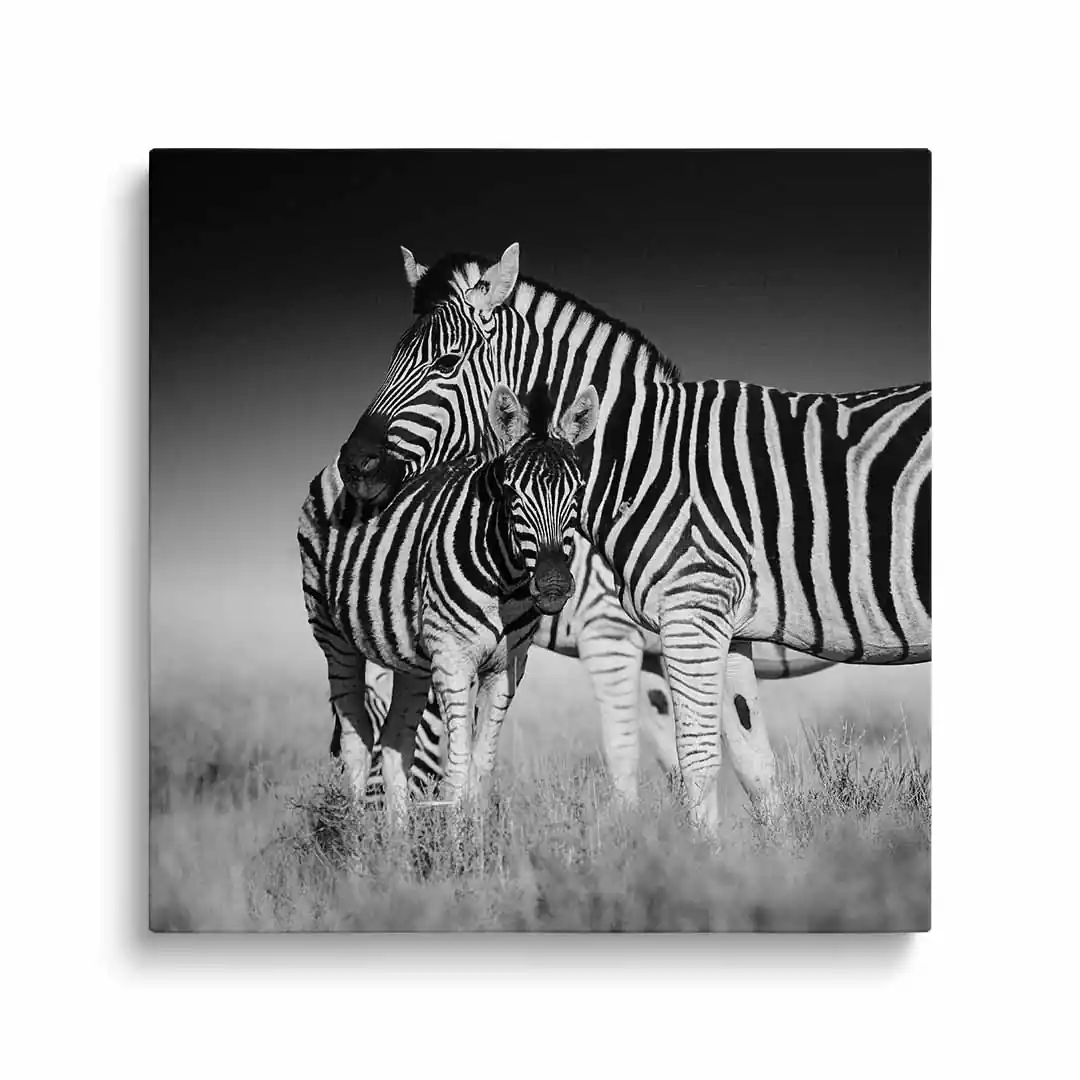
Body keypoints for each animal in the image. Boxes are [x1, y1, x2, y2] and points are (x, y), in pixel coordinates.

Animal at [299, 380, 599, 816]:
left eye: (577, 492)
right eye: (511, 493)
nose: (554, 586)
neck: (507, 582)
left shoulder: (508, 666)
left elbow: (481, 768)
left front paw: (476, 836)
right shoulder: (453, 661)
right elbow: (457, 769)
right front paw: (458, 835)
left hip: (410, 657)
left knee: (395, 743)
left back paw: (398, 837)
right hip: (332, 635)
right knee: (357, 741)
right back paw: (358, 835)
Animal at [336, 243, 931, 829]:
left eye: (446, 363)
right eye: (392, 356)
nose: (352, 464)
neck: (646, 462)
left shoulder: (641, 626)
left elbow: (660, 756)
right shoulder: (712, 625)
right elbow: (746, 762)